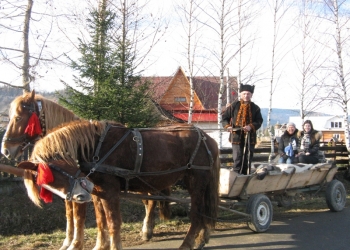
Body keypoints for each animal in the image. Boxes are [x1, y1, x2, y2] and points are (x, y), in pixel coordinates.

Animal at [0, 90, 171, 248]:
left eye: (18, 118)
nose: (6, 150)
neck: (87, 147)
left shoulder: (85, 190)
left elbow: (79, 217)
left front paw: (76, 243)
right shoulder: (86, 191)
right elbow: (82, 216)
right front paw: (76, 242)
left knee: (150, 201)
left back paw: (147, 230)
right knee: (149, 201)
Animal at [30, 120, 220, 249]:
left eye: (53, 174)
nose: (78, 195)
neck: (97, 147)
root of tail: (208, 139)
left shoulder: (110, 192)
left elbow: (113, 222)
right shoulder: (98, 192)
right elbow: (101, 221)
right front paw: (100, 245)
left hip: (196, 182)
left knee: (196, 215)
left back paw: (187, 244)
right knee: (204, 211)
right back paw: (202, 239)